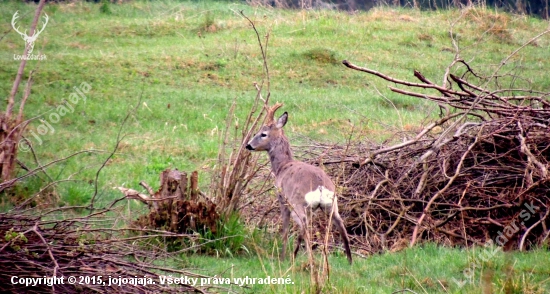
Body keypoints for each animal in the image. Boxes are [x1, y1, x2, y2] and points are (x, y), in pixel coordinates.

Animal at [247, 103, 354, 264]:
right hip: (331, 205)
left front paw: (282, 257)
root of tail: (320, 186)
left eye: (263, 133)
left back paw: (303, 258)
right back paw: (349, 261)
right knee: (341, 227)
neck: (282, 166)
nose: (248, 145)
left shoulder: (282, 198)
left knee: (304, 227)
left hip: (299, 203)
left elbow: (285, 229)